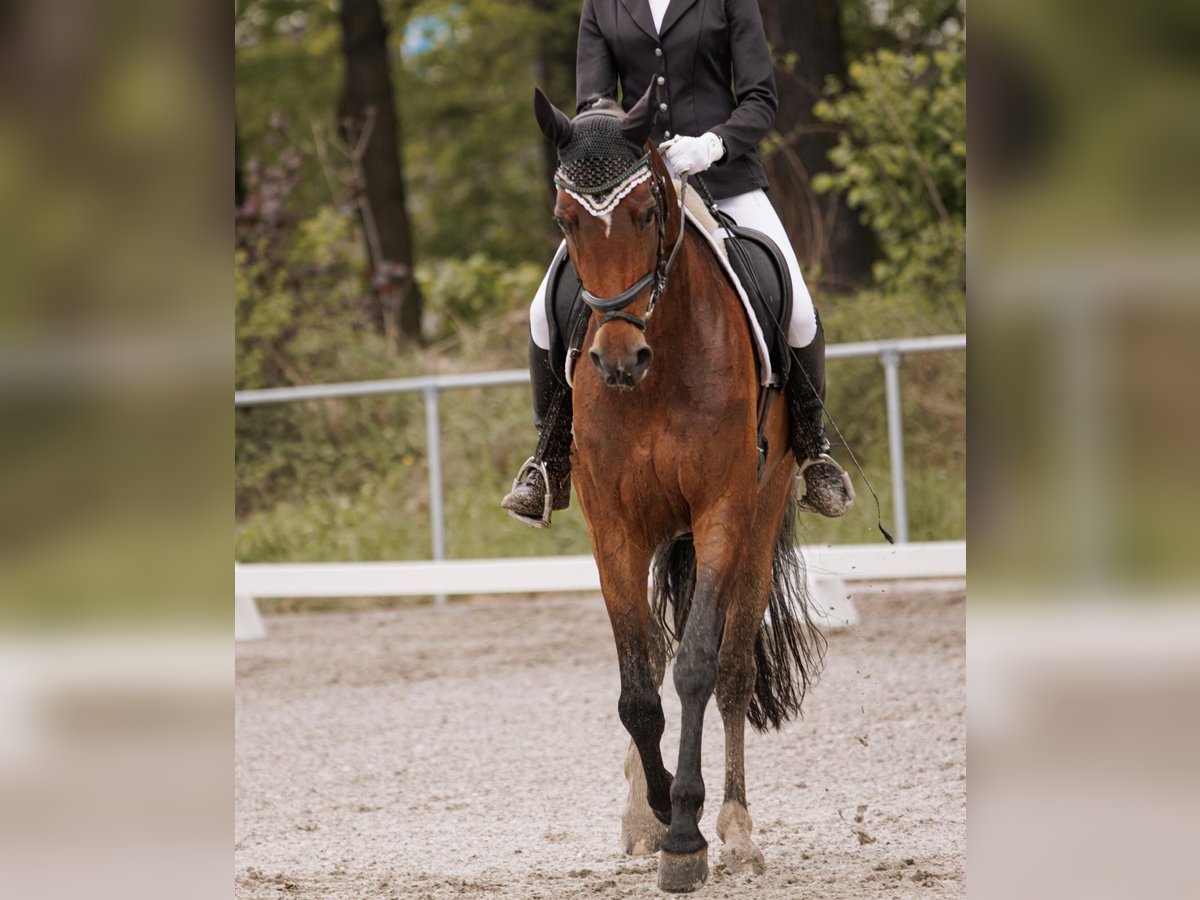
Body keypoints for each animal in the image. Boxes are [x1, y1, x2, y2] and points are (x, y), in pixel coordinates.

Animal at [535, 86, 825, 897]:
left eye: (644, 213)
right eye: (566, 220)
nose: (616, 359)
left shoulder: (723, 511)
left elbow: (697, 667)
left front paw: (688, 835)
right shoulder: (612, 525)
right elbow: (638, 688)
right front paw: (660, 812)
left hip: (761, 515)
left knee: (732, 668)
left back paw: (736, 828)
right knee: (657, 656)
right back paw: (641, 815)